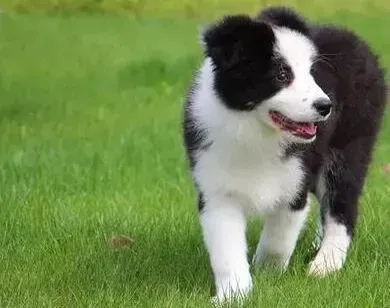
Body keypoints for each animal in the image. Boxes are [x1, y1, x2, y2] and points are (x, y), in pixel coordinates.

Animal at [182, 5, 386, 304]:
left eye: (312, 73)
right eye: (281, 75)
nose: (325, 106)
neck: (256, 131)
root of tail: (354, 38)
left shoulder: (296, 179)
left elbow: (279, 237)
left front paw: (268, 272)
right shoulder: (217, 188)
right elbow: (226, 248)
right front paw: (233, 294)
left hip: (350, 145)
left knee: (342, 206)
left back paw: (325, 264)